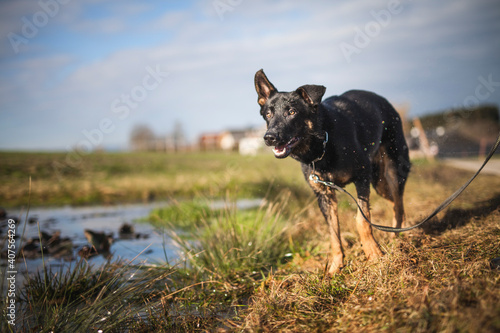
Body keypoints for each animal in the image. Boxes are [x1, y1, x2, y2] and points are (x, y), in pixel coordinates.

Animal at [254, 68, 410, 274]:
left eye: (292, 112)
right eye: (269, 114)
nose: (269, 137)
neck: (322, 144)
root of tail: (385, 102)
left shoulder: (362, 177)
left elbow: (362, 220)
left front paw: (373, 254)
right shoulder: (325, 195)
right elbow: (333, 232)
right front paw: (336, 266)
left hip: (393, 172)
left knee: (399, 203)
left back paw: (399, 237)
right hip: (379, 184)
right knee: (394, 202)